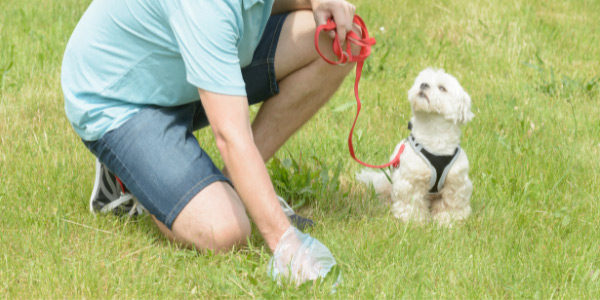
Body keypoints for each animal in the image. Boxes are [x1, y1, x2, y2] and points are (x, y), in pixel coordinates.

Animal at [356, 68, 474, 225]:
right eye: (422, 81)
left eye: (442, 88)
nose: (423, 85)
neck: (434, 137)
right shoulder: (411, 180)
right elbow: (411, 202)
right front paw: (414, 221)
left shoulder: (456, 183)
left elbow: (450, 203)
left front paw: (449, 220)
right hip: (386, 183)